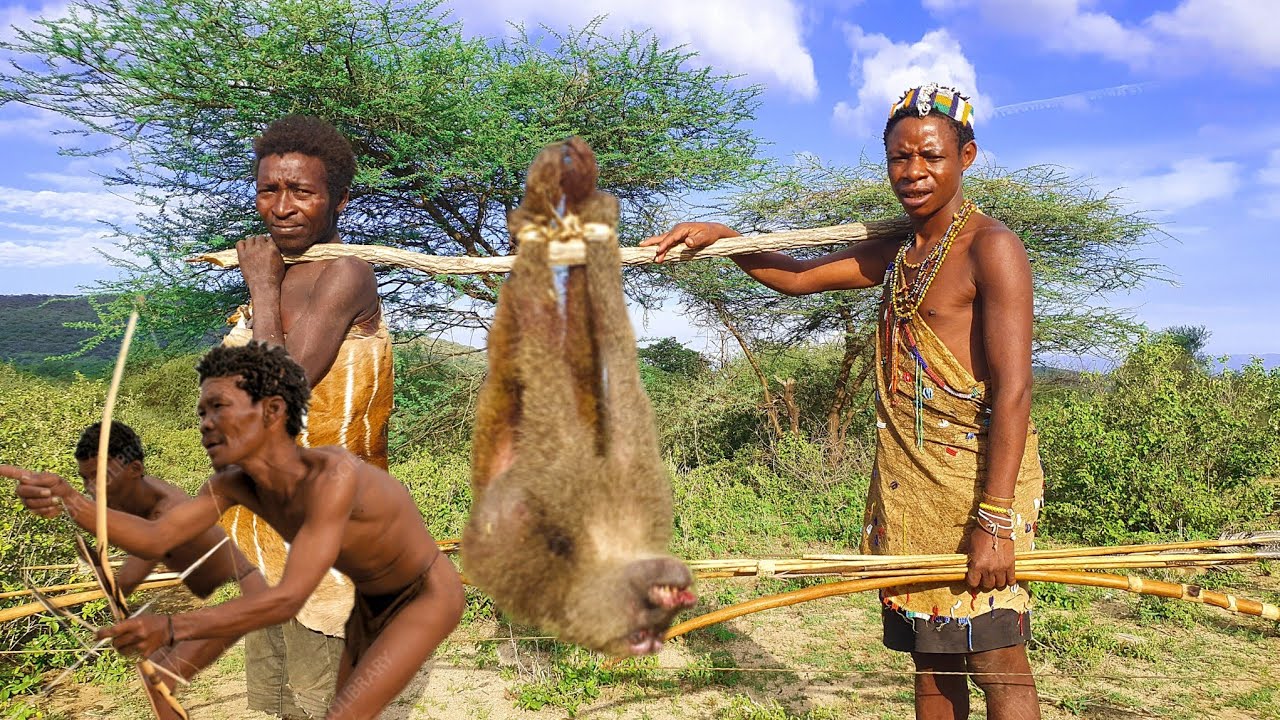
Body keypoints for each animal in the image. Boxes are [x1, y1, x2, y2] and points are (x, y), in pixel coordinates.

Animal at [461, 138, 697, 657]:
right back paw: (540, 214)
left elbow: (613, 370)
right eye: (644, 631)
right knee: (539, 332)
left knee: (535, 347)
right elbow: (576, 371)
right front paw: (591, 217)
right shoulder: (579, 491)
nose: (677, 591)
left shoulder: (641, 491)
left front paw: (596, 222)